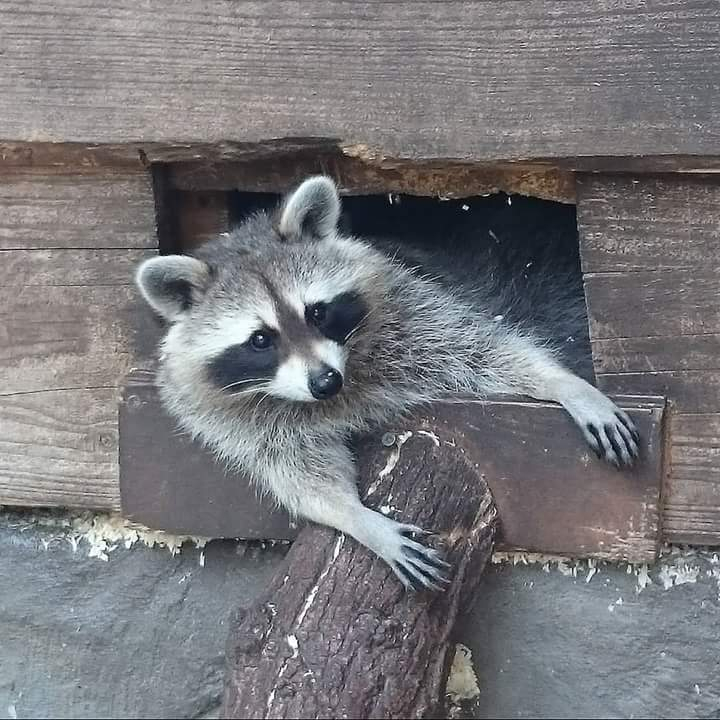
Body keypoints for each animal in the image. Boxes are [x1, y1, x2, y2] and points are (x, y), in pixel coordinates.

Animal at [136, 176, 640, 592]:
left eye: (316, 311)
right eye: (261, 339)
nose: (325, 381)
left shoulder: (409, 310)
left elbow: (482, 348)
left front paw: (563, 384)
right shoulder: (237, 420)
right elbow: (298, 472)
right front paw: (358, 519)